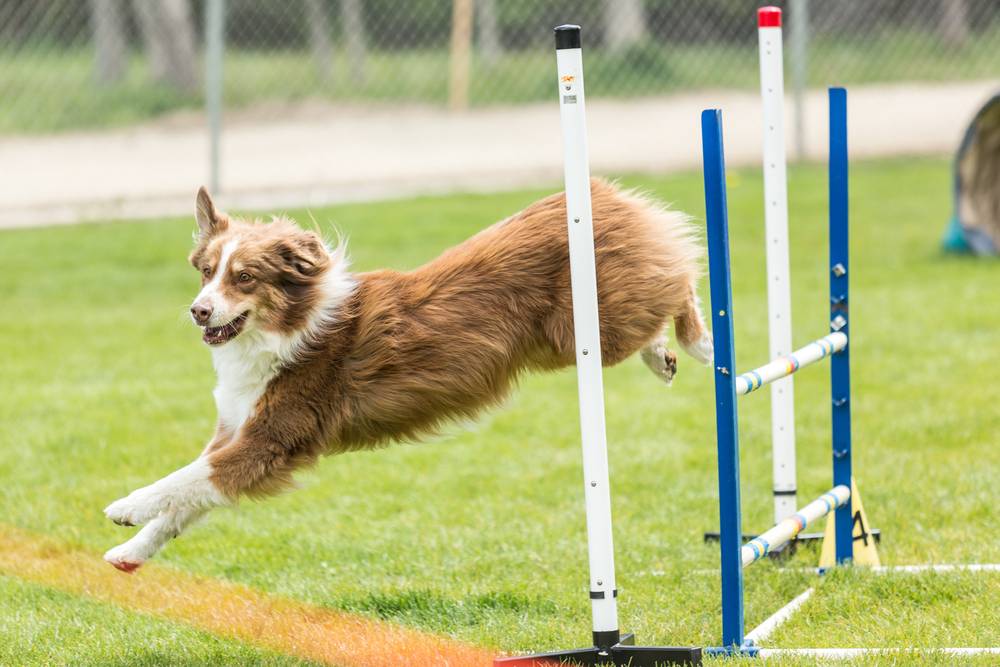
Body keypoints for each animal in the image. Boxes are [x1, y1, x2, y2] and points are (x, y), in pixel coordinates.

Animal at [101, 180, 712, 572]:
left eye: (245, 277)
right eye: (206, 272)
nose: (198, 311)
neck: (286, 329)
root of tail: (603, 194)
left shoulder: (271, 440)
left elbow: (181, 480)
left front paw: (125, 506)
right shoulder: (237, 432)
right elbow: (188, 501)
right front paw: (131, 553)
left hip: (591, 327)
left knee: (680, 274)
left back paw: (699, 342)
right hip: (580, 337)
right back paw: (663, 355)